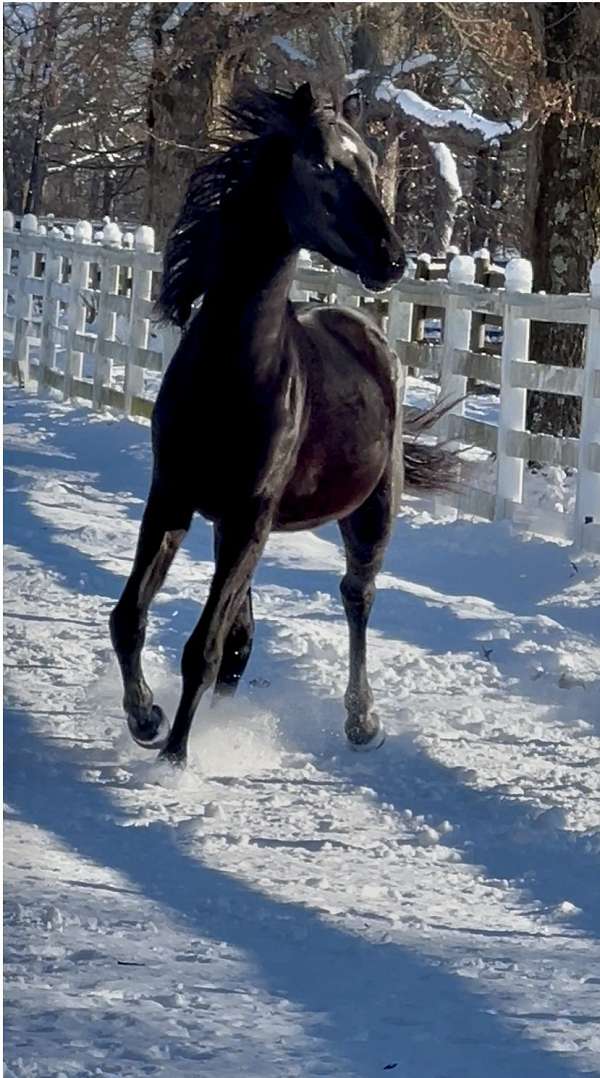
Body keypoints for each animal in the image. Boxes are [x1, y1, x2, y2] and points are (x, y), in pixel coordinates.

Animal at [110, 83, 453, 767]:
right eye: (321, 165)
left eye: (369, 163)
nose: (393, 259)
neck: (233, 375)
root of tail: (368, 332)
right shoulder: (173, 497)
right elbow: (130, 617)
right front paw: (146, 719)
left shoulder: (251, 514)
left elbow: (203, 647)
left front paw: (173, 760)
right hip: (235, 525)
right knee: (243, 629)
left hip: (370, 511)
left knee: (356, 597)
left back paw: (362, 721)